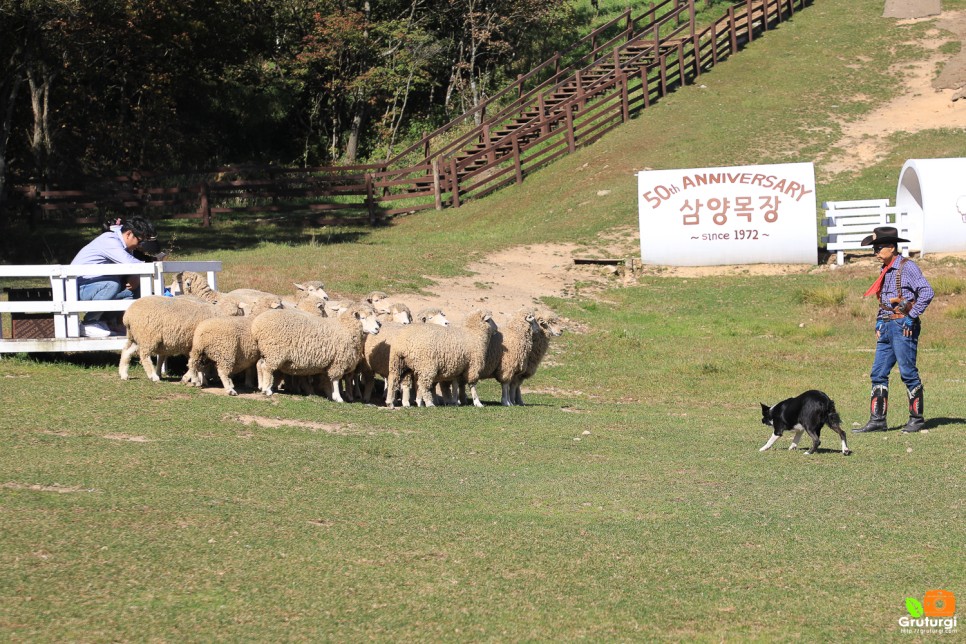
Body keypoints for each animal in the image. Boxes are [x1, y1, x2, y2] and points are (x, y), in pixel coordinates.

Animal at [251, 300, 380, 400]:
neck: (346, 328)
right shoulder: (338, 362)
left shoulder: (330, 363)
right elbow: (335, 380)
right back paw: (267, 390)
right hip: (274, 351)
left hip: (266, 351)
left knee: (260, 365)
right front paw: (338, 397)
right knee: (267, 368)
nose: (377, 328)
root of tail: (256, 324)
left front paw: (331, 395)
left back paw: (261, 386)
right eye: (363, 318)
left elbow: (329, 380)